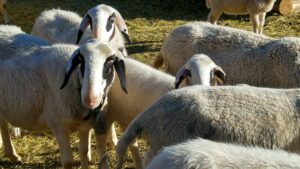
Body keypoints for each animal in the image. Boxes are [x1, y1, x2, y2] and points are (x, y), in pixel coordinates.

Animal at [0, 32, 127, 169]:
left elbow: (84, 151)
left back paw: (12, 155)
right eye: (81, 61)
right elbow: (68, 162)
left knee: (2, 123)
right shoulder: (58, 124)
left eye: (110, 62)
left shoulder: (84, 126)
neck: (73, 81)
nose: (90, 99)